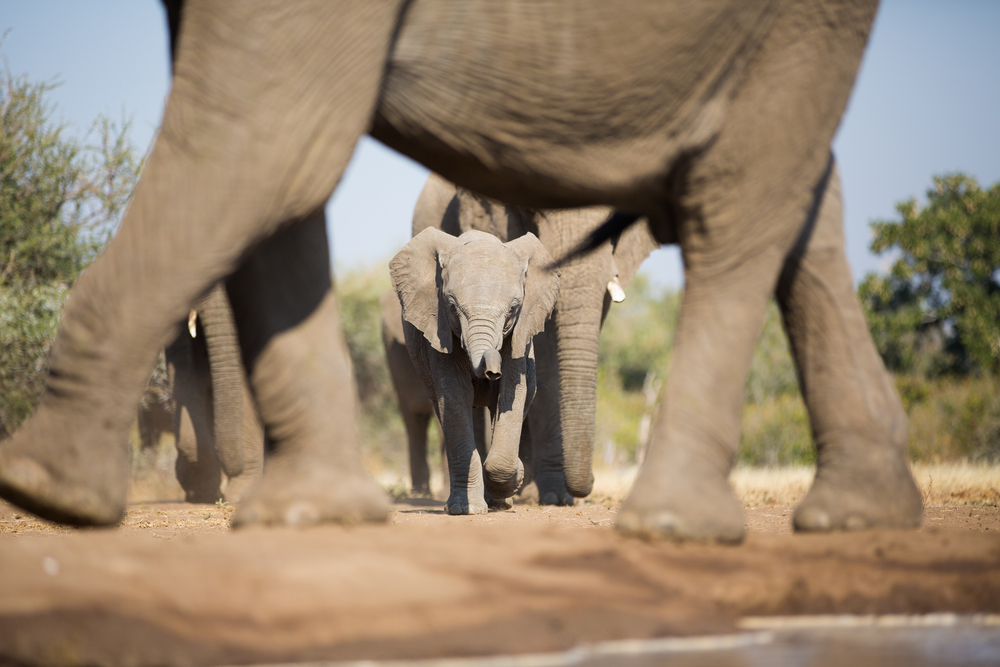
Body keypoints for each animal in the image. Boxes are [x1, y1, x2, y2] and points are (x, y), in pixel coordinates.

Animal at [390, 227, 560, 516]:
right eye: (451, 306)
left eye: (513, 308)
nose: (491, 372)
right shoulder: (439, 332)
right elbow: (455, 398)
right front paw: (465, 510)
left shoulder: (519, 336)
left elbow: (512, 394)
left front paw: (510, 486)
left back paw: (500, 501)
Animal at [410, 175, 660, 504]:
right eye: (531, 212)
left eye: (617, 222)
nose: (590, 483)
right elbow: (544, 350)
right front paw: (553, 496)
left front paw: (556, 497)